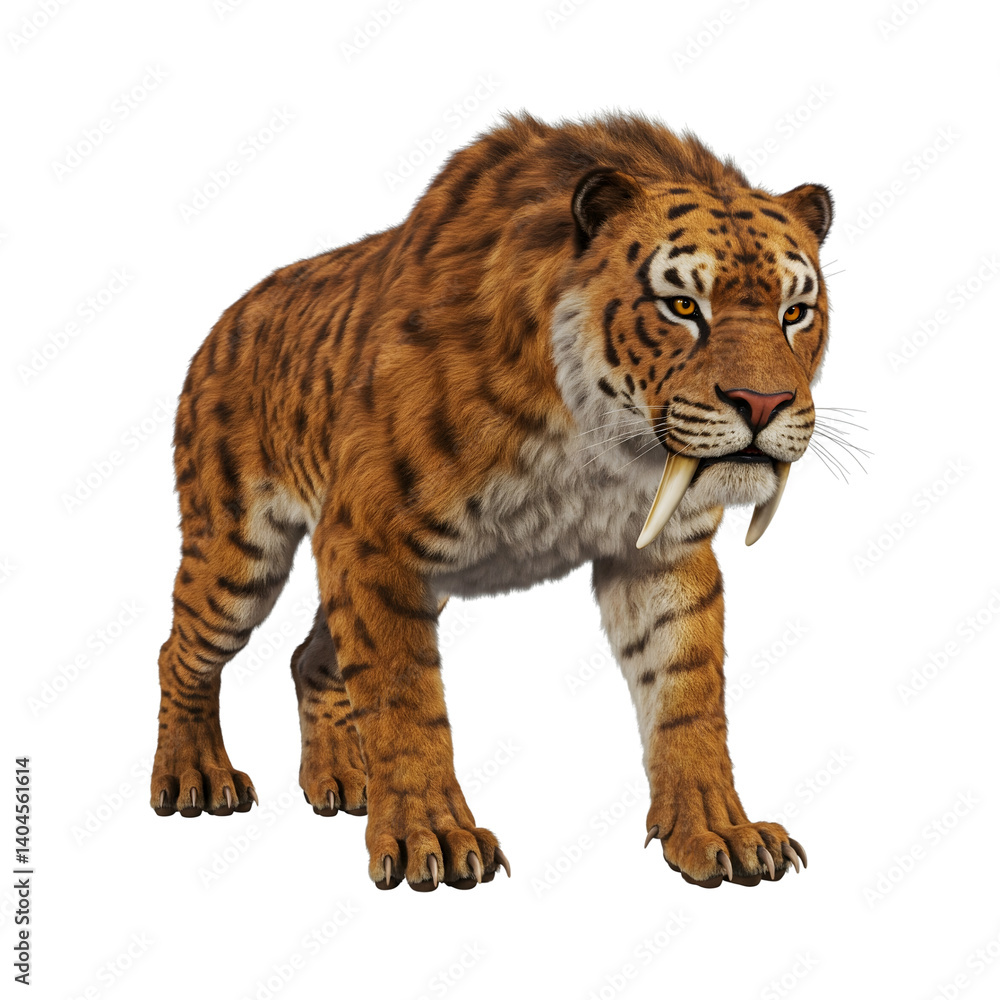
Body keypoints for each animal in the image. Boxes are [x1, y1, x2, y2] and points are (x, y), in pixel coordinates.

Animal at [150, 111, 832, 891]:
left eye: (796, 311)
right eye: (684, 306)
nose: (764, 403)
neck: (597, 444)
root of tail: (228, 317)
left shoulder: (665, 552)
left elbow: (686, 697)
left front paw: (719, 830)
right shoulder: (370, 541)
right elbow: (405, 702)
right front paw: (432, 838)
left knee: (308, 657)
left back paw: (344, 781)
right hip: (239, 553)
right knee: (181, 650)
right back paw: (193, 778)